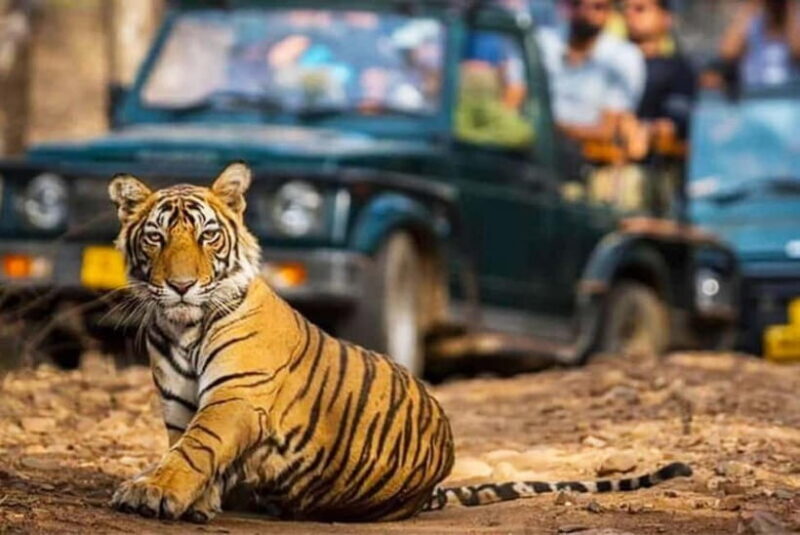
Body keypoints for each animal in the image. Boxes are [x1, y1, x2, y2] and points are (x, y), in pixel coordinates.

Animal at [107, 162, 693, 523]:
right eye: (156, 237)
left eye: (208, 236)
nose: (182, 285)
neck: (182, 327)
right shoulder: (180, 403)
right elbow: (186, 448)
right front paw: (192, 500)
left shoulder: (237, 396)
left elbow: (195, 448)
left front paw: (153, 492)